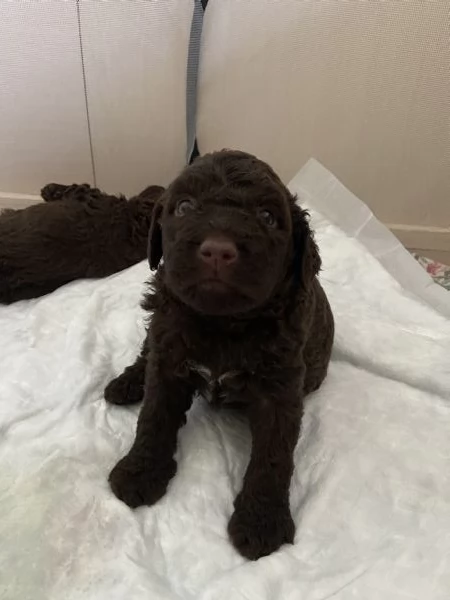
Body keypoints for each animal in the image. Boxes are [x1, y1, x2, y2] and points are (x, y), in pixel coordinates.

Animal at [105, 149, 334, 556]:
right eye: (183, 206)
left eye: (267, 216)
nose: (217, 250)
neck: (223, 324)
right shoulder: (169, 358)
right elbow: (154, 416)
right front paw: (139, 472)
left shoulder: (280, 390)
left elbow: (273, 454)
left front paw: (261, 522)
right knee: (148, 350)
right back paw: (127, 382)